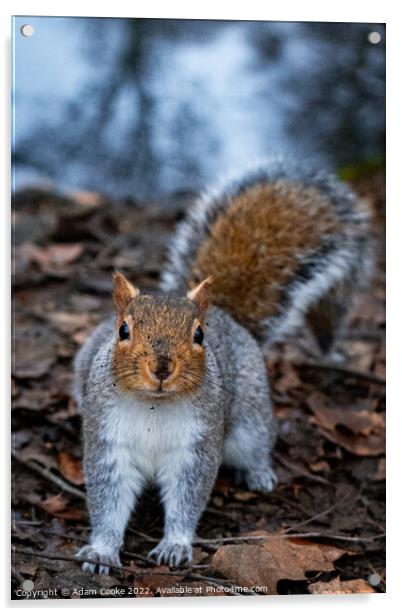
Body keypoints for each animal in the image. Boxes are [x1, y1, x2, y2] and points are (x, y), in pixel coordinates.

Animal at [73, 158, 374, 572]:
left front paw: (175, 545)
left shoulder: (197, 447)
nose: (162, 368)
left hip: (249, 417)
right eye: (123, 330)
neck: (154, 405)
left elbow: (187, 498)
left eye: (200, 335)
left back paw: (259, 472)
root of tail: (228, 317)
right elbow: (107, 501)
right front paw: (102, 550)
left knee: (257, 442)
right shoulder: (108, 443)